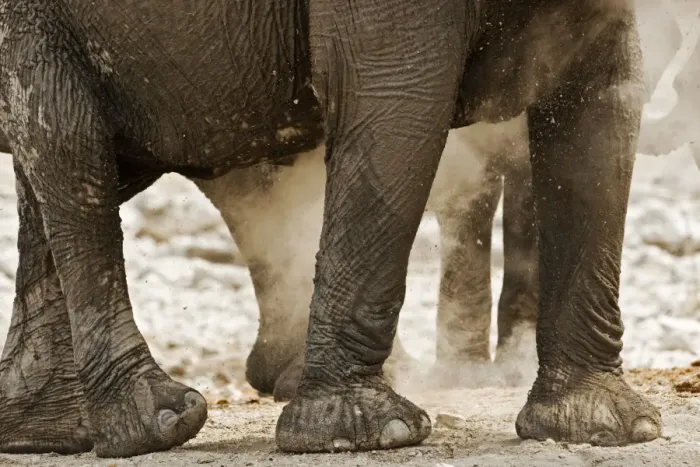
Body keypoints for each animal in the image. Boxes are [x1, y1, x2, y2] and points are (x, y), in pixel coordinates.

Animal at [0, 0, 661, 459]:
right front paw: (368, 435)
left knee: (68, 176)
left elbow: (602, 95)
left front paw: (608, 427)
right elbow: (395, 104)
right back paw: (160, 423)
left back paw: (49, 432)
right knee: (71, 155)